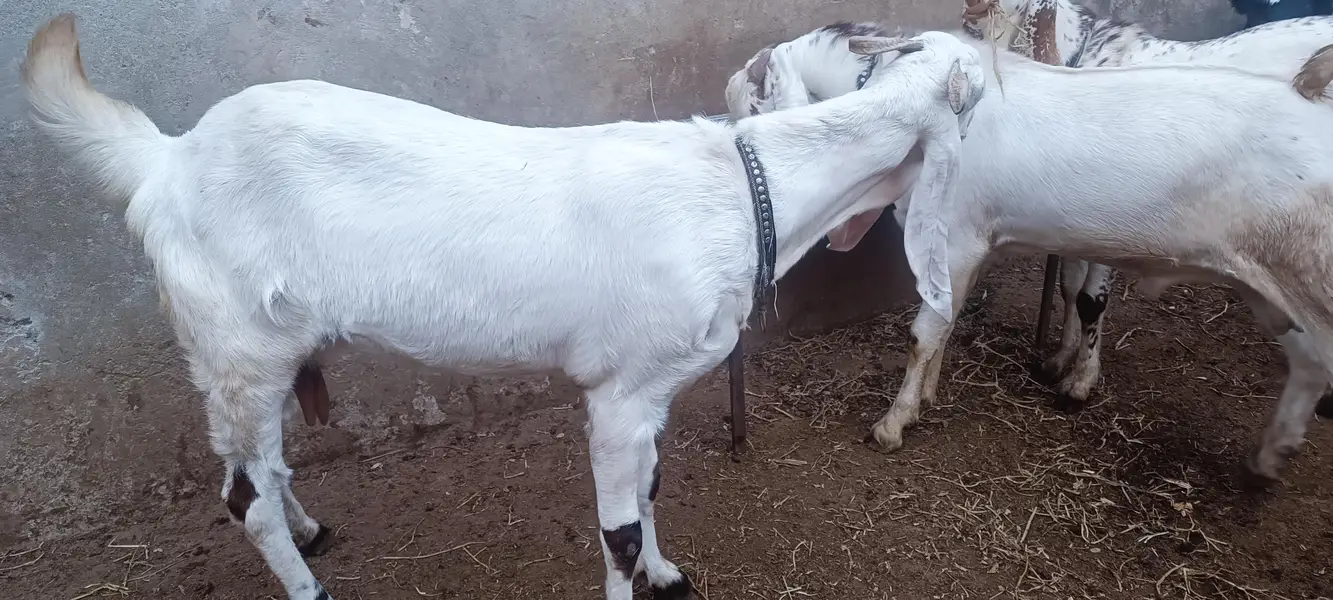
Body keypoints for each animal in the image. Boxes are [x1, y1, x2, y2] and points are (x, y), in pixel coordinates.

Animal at [21, 14, 985, 600]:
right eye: (970, 92)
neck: (746, 190)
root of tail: (168, 160)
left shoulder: (655, 387)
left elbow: (651, 487)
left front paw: (668, 571)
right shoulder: (617, 391)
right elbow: (616, 527)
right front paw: (637, 572)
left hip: (258, 353)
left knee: (264, 468)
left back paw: (312, 528)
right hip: (233, 344)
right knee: (243, 498)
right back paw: (308, 584)